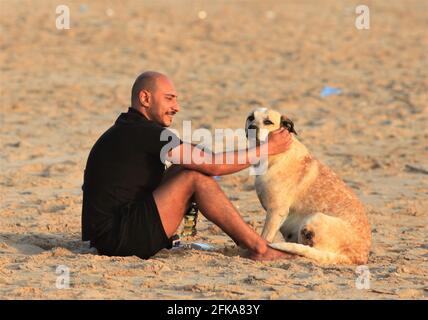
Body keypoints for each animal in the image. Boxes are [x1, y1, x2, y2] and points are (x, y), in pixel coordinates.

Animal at [246, 108, 372, 264]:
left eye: (268, 122)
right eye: (250, 118)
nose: (251, 127)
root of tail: (356, 257)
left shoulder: (276, 211)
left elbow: (264, 237)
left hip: (313, 218)